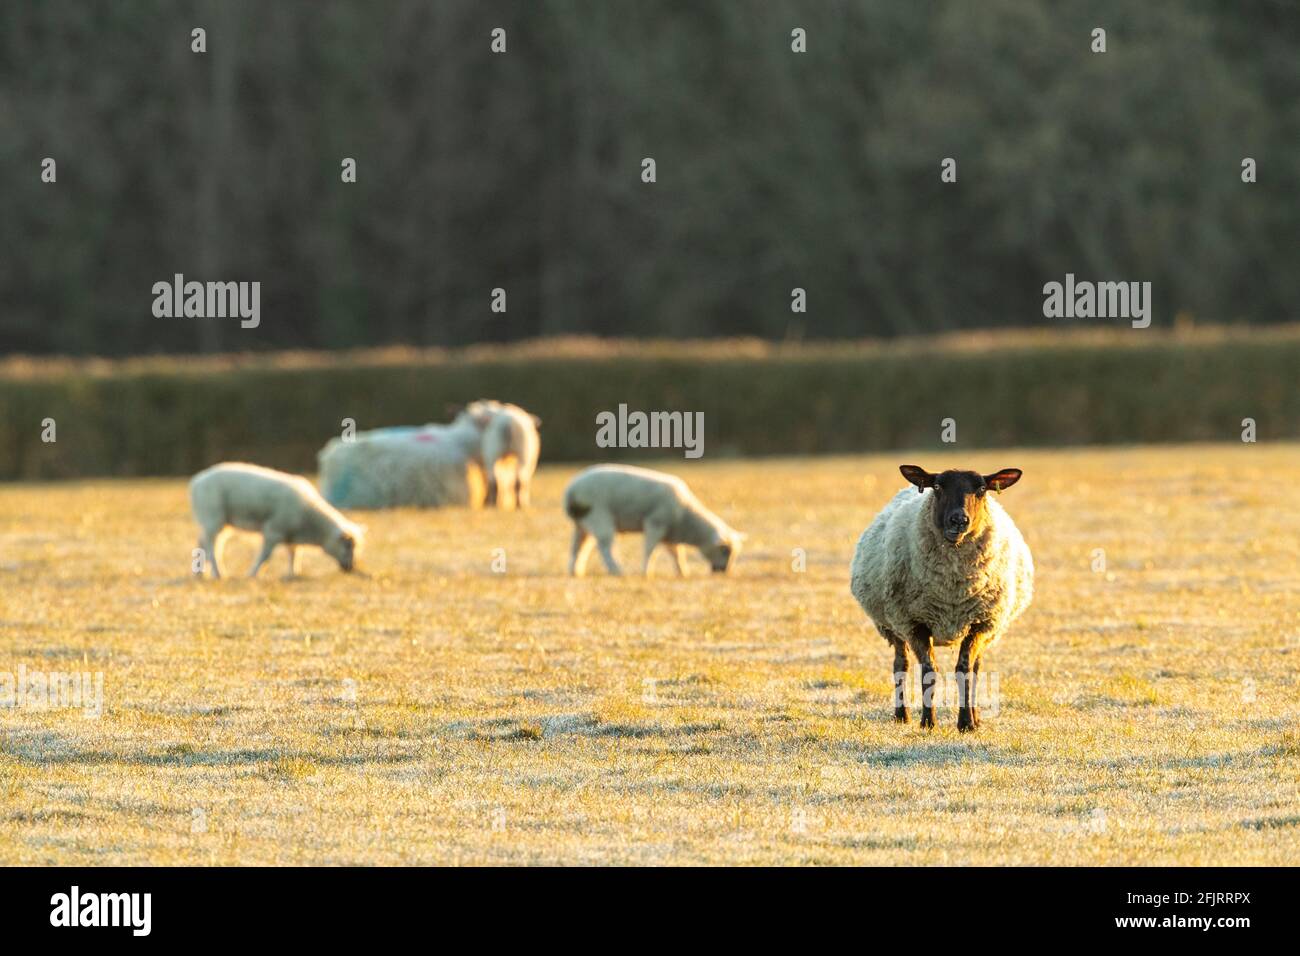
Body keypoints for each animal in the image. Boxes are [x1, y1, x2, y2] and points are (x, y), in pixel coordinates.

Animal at [190, 462, 363, 578]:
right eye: (348, 545)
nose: (351, 568)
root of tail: (196, 482)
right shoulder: (274, 530)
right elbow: (265, 555)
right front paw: (252, 574)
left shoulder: (290, 534)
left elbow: (295, 553)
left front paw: (294, 573)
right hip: (213, 517)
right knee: (211, 547)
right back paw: (218, 573)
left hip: (219, 522)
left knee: (202, 543)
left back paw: (199, 574)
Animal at [563, 464, 744, 576]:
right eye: (725, 550)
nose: (724, 571)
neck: (686, 519)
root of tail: (571, 492)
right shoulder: (656, 523)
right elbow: (651, 550)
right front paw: (646, 571)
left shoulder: (669, 534)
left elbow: (677, 553)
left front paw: (683, 572)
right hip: (599, 515)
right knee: (605, 546)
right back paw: (616, 570)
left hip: (582, 524)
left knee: (577, 547)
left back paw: (575, 571)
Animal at [849, 465, 1033, 731]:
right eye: (937, 487)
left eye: (981, 489)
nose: (959, 520)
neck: (952, 588)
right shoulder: (914, 622)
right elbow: (929, 671)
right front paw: (928, 721)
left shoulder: (980, 623)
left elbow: (965, 670)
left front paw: (966, 722)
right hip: (892, 625)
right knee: (900, 665)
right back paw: (902, 715)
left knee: (976, 667)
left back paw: (976, 717)